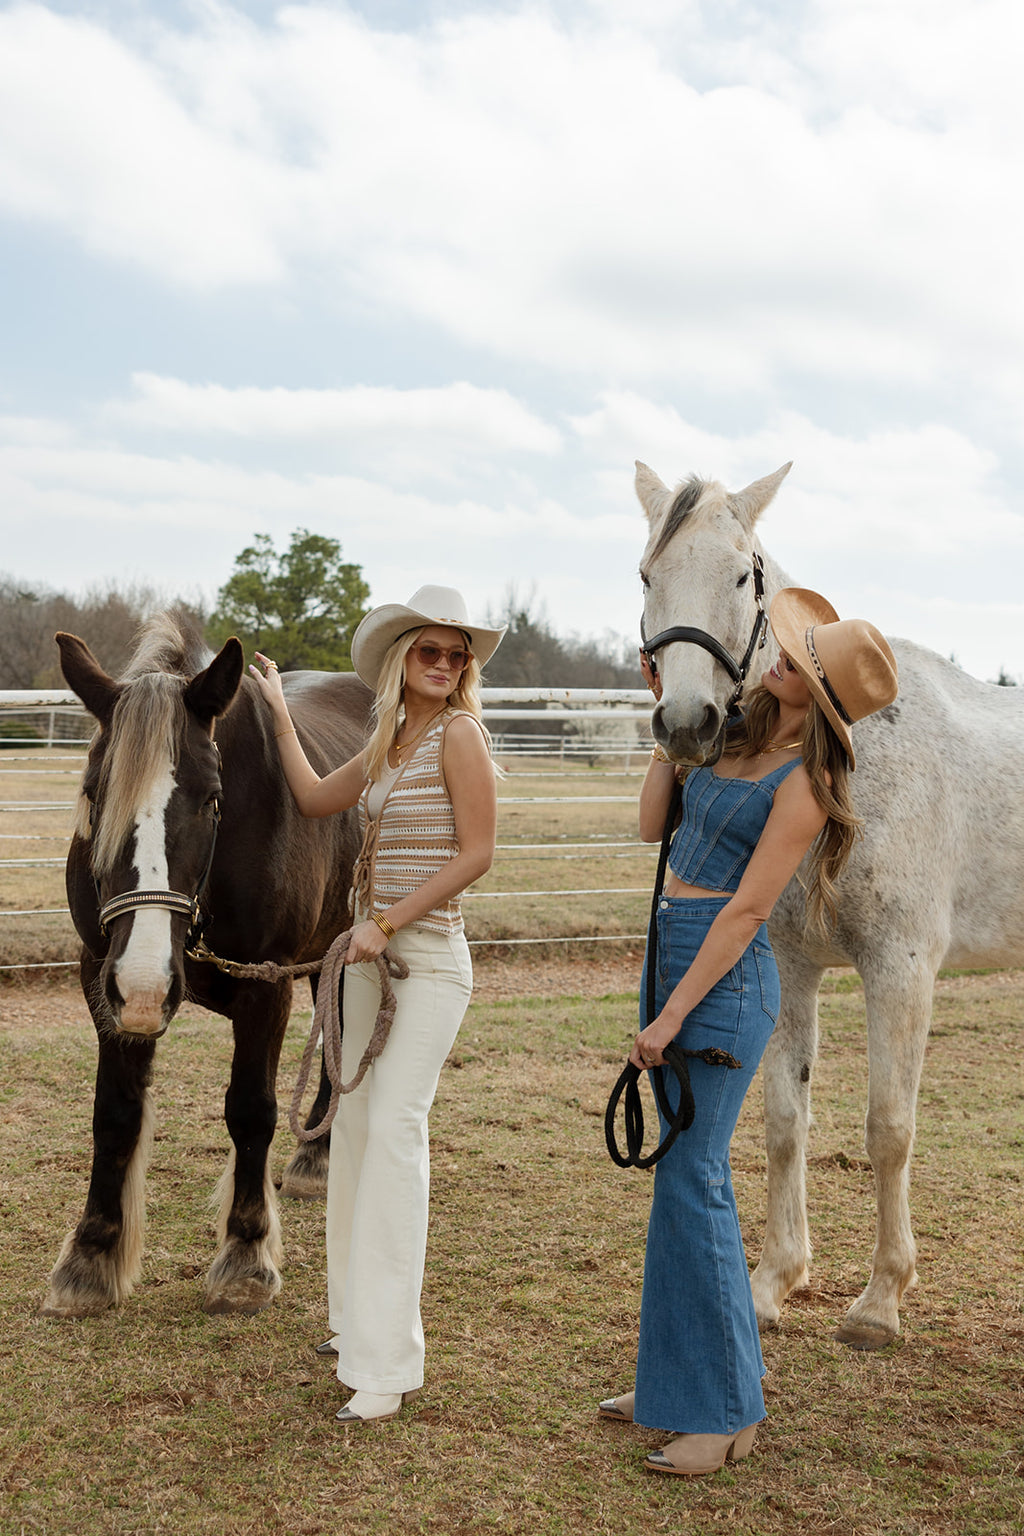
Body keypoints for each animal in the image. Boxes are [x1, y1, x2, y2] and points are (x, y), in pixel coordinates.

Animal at [46, 611, 373, 1320]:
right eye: (93, 793)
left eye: (212, 800)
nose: (146, 984)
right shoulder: (104, 981)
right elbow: (114, 1114)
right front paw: (90, 1259)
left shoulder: (265, 988)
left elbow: (251, 1110)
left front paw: (246, 1257)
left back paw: (315, 1157)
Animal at [632, 460, 1024, 1351]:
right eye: (647, 575)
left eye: (743, 575)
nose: (686, 724)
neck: (848, 751)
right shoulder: (791, 965)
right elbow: (786, 1123)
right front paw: (774, 1282)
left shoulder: (901, 970)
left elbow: (889, 1130)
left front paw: (879, 1302)